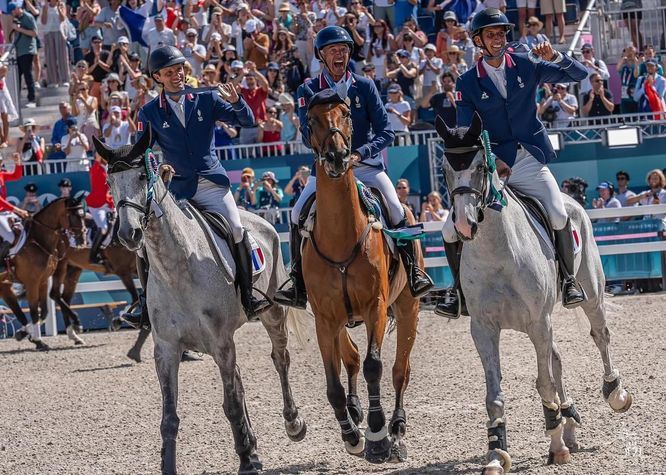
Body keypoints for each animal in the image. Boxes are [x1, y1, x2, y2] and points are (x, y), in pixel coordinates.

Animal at [2, 196, 87, 351]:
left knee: (14, 305)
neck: (39, 241)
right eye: (73, 215)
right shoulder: (32, 283)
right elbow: (35, 311)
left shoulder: (42, 280)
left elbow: (45, 311)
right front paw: (38, 340)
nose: (82, 240)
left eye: (83, 215)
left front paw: (27, 334)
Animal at [94, 128, 308, 475]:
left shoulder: (220, 342)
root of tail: (262, 222)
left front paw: (246, 462)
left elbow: (231, 404)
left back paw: (293, 424)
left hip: (273, 314)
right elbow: (169, 417)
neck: (176, 269)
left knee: (280, 360)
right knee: (240, 380)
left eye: (141, 176)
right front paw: (170, 466)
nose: (128, 234)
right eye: (110, 183)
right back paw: (253, 446)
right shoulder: (167, 350)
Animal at [302, 93, 422, 463]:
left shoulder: (375, 307)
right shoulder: (324, 318)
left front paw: (378, 435)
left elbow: (374, 366)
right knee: (351, 358)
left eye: (346, 114)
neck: (341, 236)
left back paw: (396, 428)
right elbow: (334, 384)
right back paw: (356, 413)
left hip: (408, 309)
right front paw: (351, 435)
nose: (338, 157)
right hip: (340, 319)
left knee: (399, 371)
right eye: (311, 120)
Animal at [435, 114, 633, 474]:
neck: (496, 249)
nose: (464, 225)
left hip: (589, 295)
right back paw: (568, 423)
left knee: (600, 335)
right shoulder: (484, 328)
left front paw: (555, 445)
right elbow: (495, 395)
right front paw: (496, 454)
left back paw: (614, 393)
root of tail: (572, 200)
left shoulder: (539, 323)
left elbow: (544, 383)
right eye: (444, 169)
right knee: (556, 359)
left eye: (481, 167)